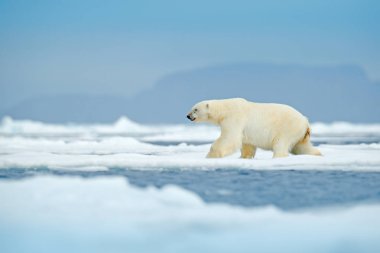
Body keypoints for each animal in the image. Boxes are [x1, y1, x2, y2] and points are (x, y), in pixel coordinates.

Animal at [186, 98, 320, 158]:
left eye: (195, 109)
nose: (188, 116)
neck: (224, 109)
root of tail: (305, 121)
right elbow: (247, 144)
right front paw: (244, 157)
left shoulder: (234, 118)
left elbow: (230, 138)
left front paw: (211, 155)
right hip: (300, 134)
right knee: (302, 147)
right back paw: (317, 154)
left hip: (288, 128)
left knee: (281, 144)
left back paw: (278, 157)